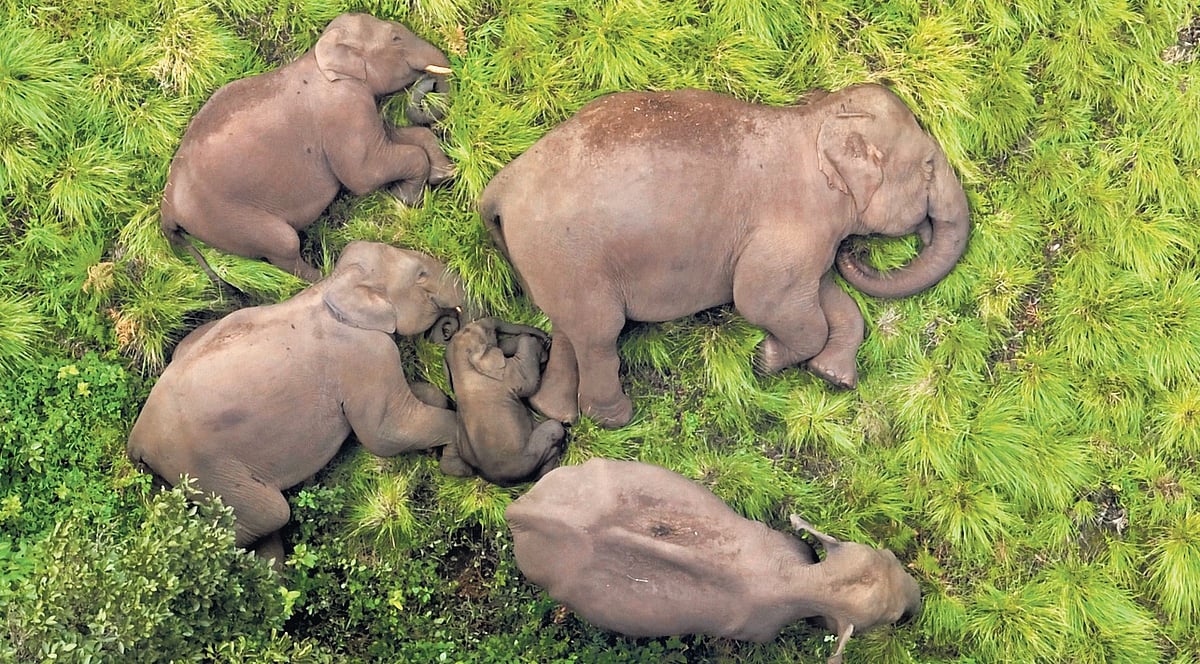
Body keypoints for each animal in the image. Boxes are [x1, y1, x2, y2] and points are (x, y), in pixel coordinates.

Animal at [127, 241, 466, 564]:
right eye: (421, 274)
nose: (449, 327)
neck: (334, 284)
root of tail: (137, 440)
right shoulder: (364, 354)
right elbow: (387, 434)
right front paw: (459, 454)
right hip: (203, 467)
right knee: (268, 515)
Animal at [161, 13, 456, 284]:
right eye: (395, 38)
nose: (429, 82)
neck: (320, 56)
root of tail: (168, 205)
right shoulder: (343, 109)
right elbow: (363, 176)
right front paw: (406, 198)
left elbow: (393, 137)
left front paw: (442, 174)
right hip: (227, 220)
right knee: (284, 244)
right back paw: (323, 275)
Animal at [439, 317, 566, 485]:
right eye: (488, 332)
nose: (547, 337)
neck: (462, 368)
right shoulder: (505, 376)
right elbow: (529, 384)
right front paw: (533, 341)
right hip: (528, 456)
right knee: (555, 430)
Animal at [480, 84, 970, 428]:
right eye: (929, 166)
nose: (857, 255)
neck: (813, 120)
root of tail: (502, 183)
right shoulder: (791, 227)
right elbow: (762, 301)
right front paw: (766, 360)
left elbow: (828, 299)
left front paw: (832, 376)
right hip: (569, 254)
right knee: (599, 334)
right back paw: (616, 418)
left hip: (553, 262)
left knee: (569, 329)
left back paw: (556, 412)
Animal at [505, 459, 922, 663]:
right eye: (889, 618)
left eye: (889, 555)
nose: (919, 600)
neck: (795, 579)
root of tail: (518, 509)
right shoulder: (759, 629)